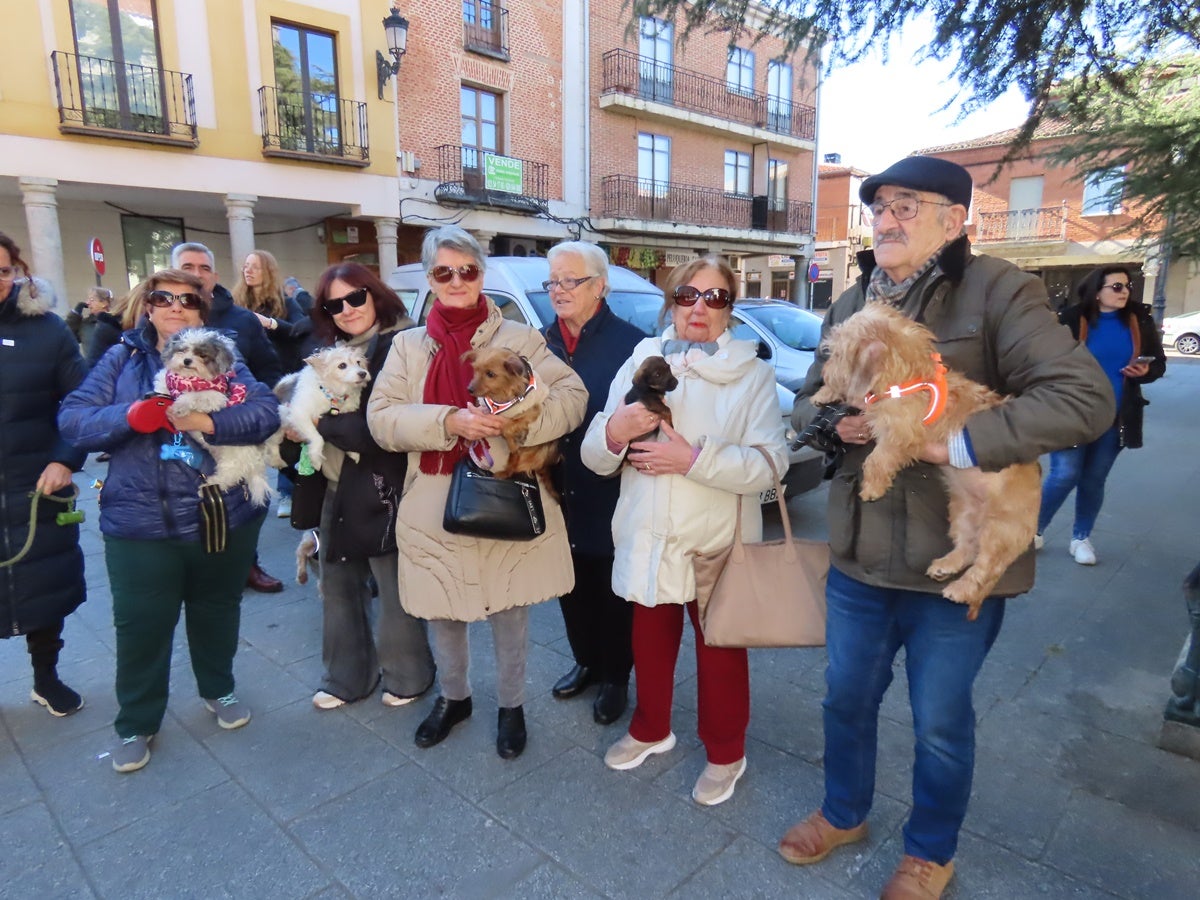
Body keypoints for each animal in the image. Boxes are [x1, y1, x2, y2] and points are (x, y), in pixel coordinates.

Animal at [153, 326, 273, 508]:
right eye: (182, 350)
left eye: (202, 355)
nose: (187, 361)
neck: (190, 378)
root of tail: (256, 463)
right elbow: (163, 383)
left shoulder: (215, 398)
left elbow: (195, 395)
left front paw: (180, 405)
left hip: (233, 458)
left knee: (229, 476)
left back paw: (209, 485)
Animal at [816, 303, 1041, 619]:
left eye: (836, 354)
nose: (823, 373)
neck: (904, 376)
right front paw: (822, 394)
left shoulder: (901, 434)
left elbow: (876, 459)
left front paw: (872, 488)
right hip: (962, 513)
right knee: (967, 549)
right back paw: (945, 565)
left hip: (1000, 530)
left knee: (986, 568)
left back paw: (961, 590)